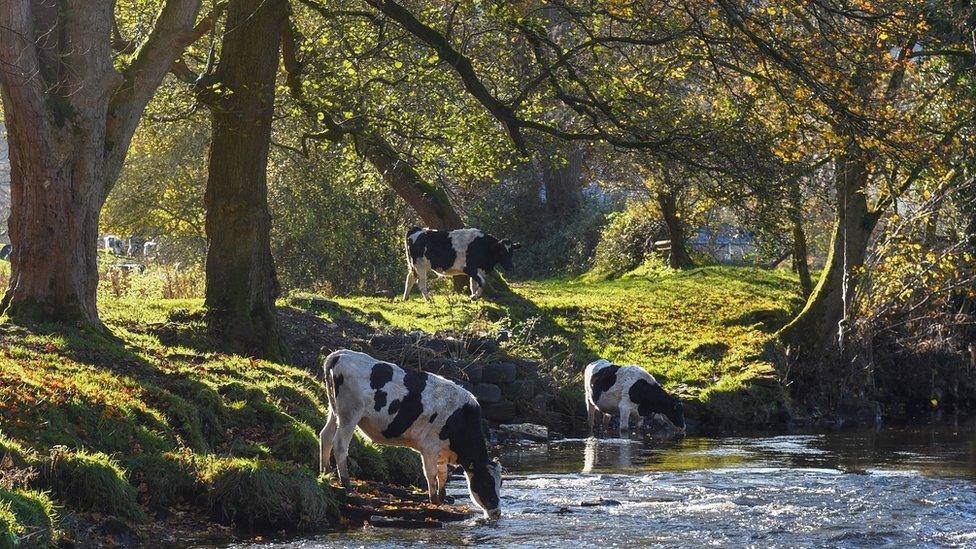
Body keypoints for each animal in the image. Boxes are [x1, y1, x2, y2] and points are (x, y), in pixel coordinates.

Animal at [320, 352, 504, 520]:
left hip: (335, 411)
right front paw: (435, 500)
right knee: (340, 444)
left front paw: (444, 497)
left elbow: (443, 473)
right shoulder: (429, 447)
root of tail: (340, 354)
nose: (497, 512)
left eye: (500, 483)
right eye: (487, 482)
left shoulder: (442, 450)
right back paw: (346, 483)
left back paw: (326, 473)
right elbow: (431, 473)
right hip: (350, 414)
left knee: (325, 436)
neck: (461, 419)